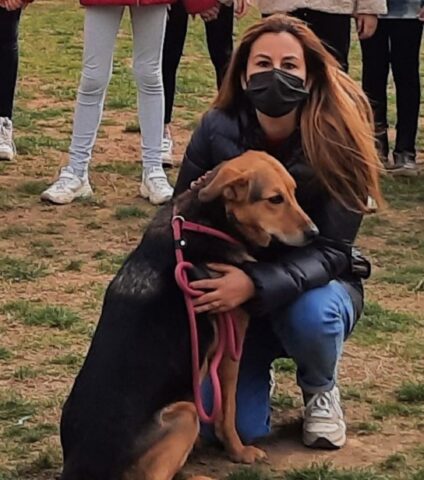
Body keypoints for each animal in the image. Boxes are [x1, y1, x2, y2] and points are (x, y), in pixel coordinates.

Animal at [60, 151, 318, 480]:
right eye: (275, 199)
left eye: (294, 192)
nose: (314, 233)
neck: (210, 220)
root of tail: (81, 467)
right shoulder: (231, 341)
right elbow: (227, 410)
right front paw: (239, 452)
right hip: (185, 413)